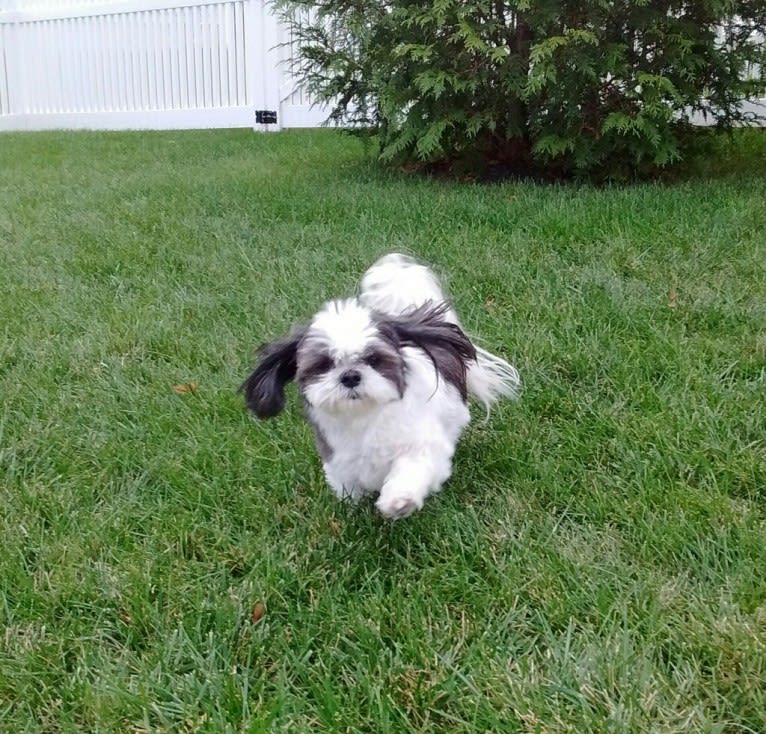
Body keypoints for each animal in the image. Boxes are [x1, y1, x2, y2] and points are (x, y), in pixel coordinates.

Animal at [243, 256, 520, 520]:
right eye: (324, 364)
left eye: (373, 359)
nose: (350, 376)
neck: (365, 418)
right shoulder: (339, 461)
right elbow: (348, 488)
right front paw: (354, 507)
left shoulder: (422, 446)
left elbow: (411, 469)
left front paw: (399, 502)